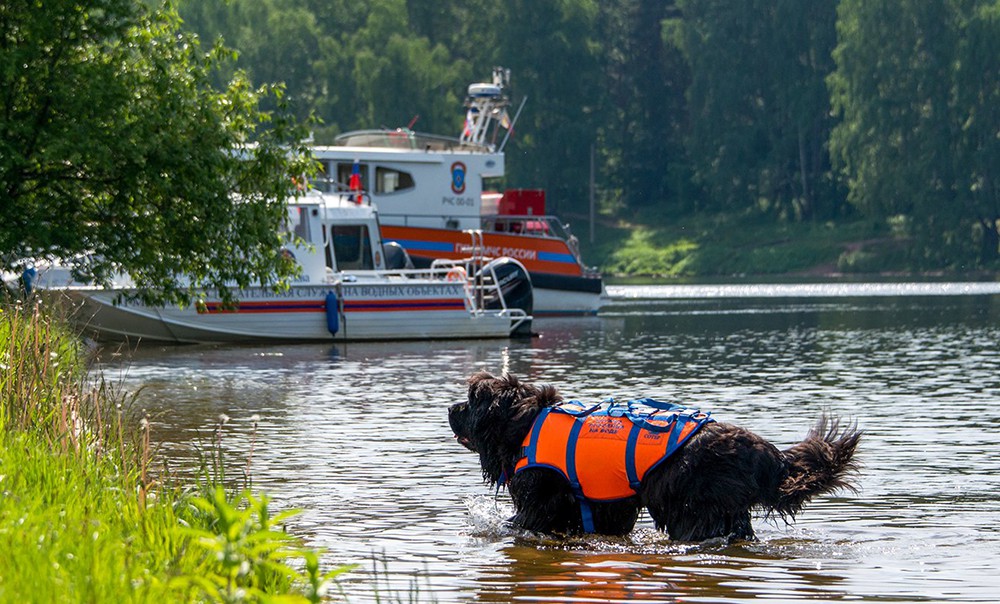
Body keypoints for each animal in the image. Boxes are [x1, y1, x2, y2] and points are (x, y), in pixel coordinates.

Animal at [448, 370, 860, 540]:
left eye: (472, 400)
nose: (450, 408)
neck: (524, 423)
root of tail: (758, 448)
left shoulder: (541, 497)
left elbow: (525, 519)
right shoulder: (602, 504)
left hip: (694, 505)